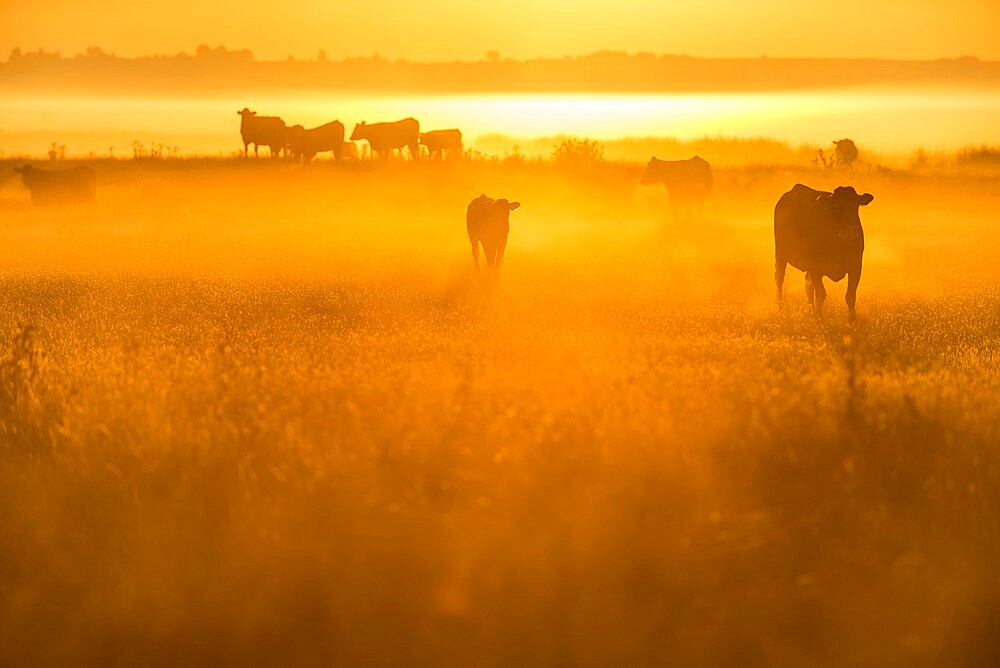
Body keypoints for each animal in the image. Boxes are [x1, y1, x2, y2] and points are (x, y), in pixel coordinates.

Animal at [772, 184, 876, 322]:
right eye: (835, 207)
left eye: (856, 206)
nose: (850, 232)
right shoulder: (815, 267)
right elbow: (821, 294)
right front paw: (820, 319)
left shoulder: (856, 266)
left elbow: (850, 295)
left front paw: (852, 320)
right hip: (780, 254)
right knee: (779, 278)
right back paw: (780, 306)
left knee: (808, 284)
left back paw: (810, 309)